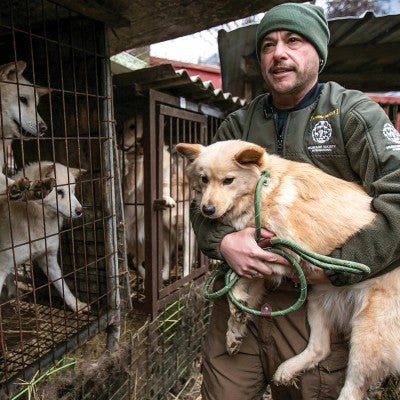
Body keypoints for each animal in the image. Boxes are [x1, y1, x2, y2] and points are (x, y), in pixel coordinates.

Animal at [0, 161, 88, 314]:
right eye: (59, 192)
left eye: (72, 191)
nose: (80, 211)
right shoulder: (1, 268)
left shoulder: (49, 259)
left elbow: (63, 287)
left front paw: (77, 305)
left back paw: (13, 291)